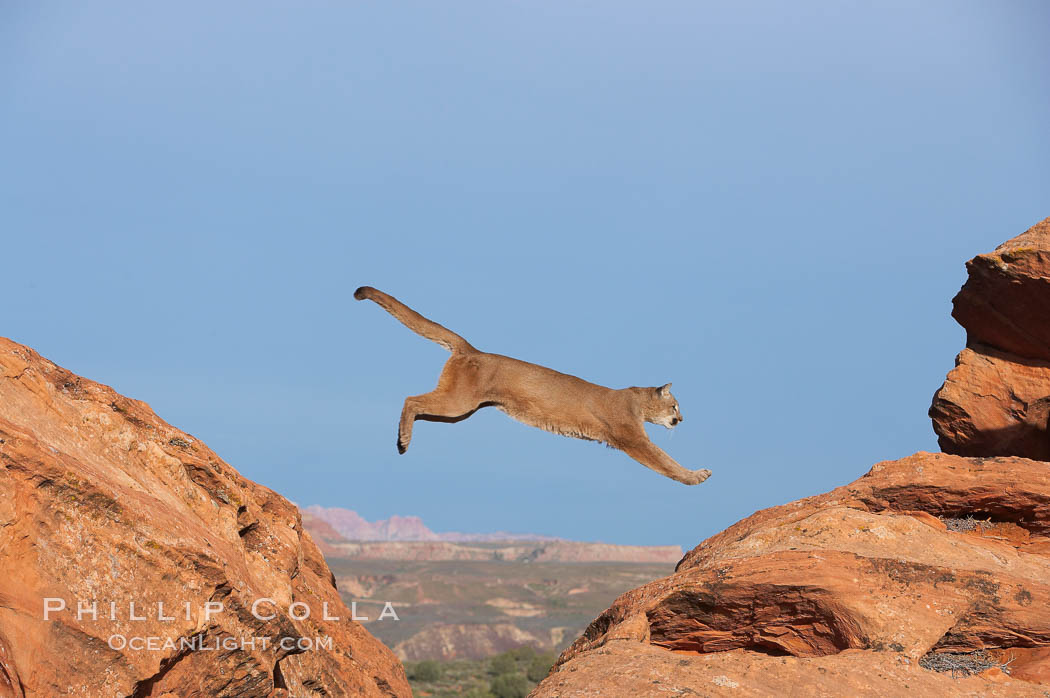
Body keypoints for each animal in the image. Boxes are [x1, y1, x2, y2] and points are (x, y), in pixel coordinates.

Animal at [354, 285, 713, 482]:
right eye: (675, 405)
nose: (681, 419)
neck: (637, 400)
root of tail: (472, 349)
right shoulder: (633, 440)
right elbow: (665, 462)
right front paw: (696, 477)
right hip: (457, 403)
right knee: (410, 399)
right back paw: (403, 441)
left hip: (460, 411)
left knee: (418, 406)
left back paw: (401, 439)